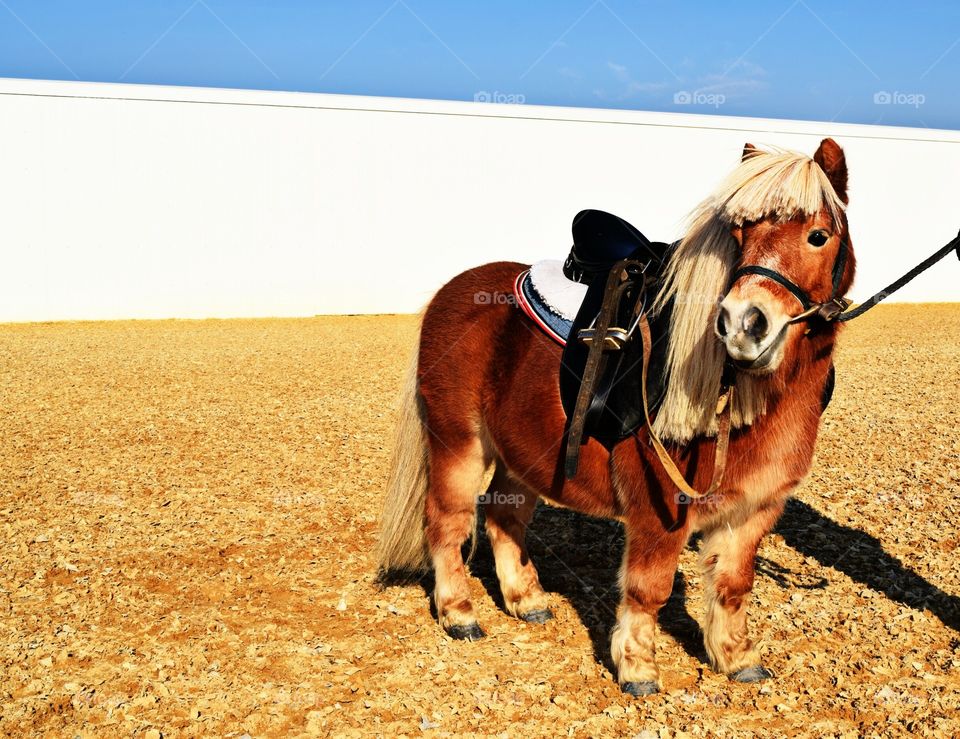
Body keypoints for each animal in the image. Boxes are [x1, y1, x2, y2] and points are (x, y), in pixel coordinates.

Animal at [376, 137, 856, 692]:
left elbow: (733, 586)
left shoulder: (753, 510)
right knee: (447, 522)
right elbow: (649, 589)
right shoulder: (658, 510)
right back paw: (459, 614)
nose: (742, 324)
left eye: (819, 236)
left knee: (502, 515)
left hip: (523, 454)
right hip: (457, 444)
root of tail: (452, 291)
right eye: (739, 236)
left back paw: (526, 600)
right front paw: (638, 668)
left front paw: (736, 659)